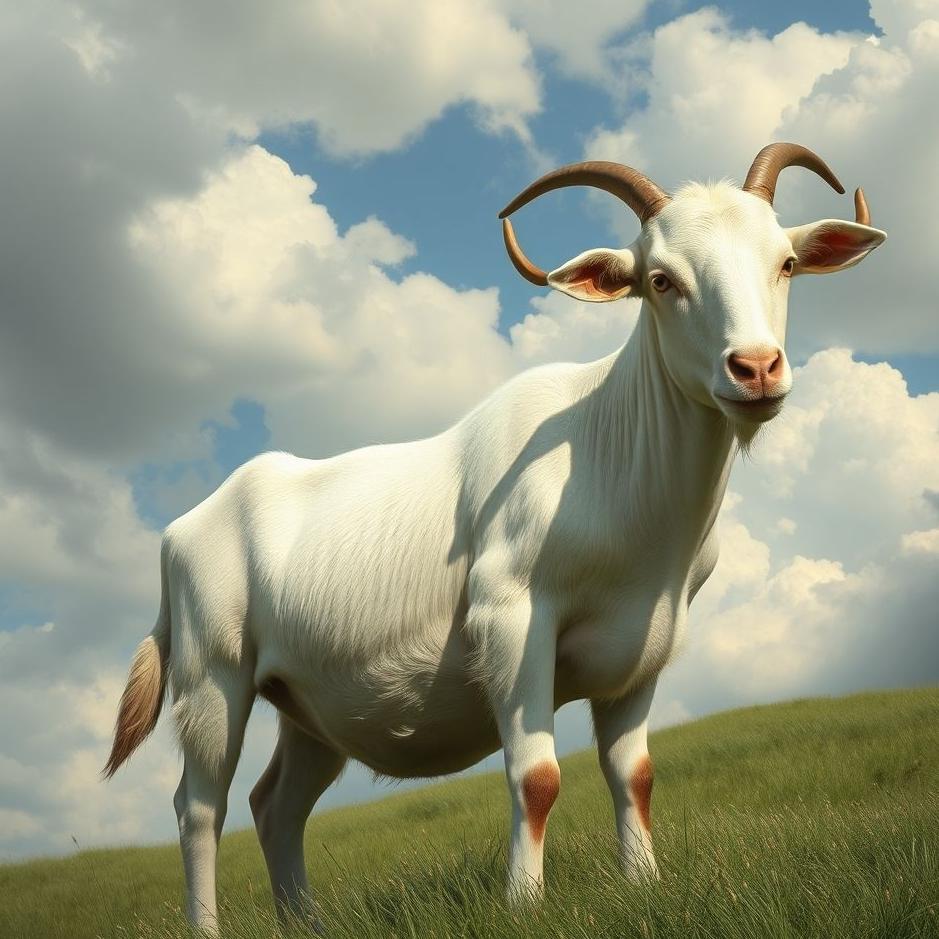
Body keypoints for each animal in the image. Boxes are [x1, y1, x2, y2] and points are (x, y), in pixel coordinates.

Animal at [104, 143, 885, 934]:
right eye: (661, 280)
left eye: (785, 263)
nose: (755, 368)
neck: (607, 453)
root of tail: (182, 528)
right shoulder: (512, 617)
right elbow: (536, 775)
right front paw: (524, 902)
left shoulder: (647, 641)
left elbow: (634, 773)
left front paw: (643, 884)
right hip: (212, 674)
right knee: (201, 808)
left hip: (306, 705)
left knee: (276, 805)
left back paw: (307, 921)